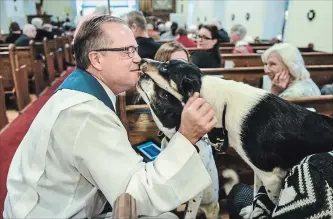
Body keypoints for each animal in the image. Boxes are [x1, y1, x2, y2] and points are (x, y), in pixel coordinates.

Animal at [135, 58, 332, 217]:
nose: (141, 60)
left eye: (165, 68)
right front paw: (250, 211)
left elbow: (272, 203)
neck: (223, 104)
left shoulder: (272, 177)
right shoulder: (259, 172)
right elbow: (256, 195)